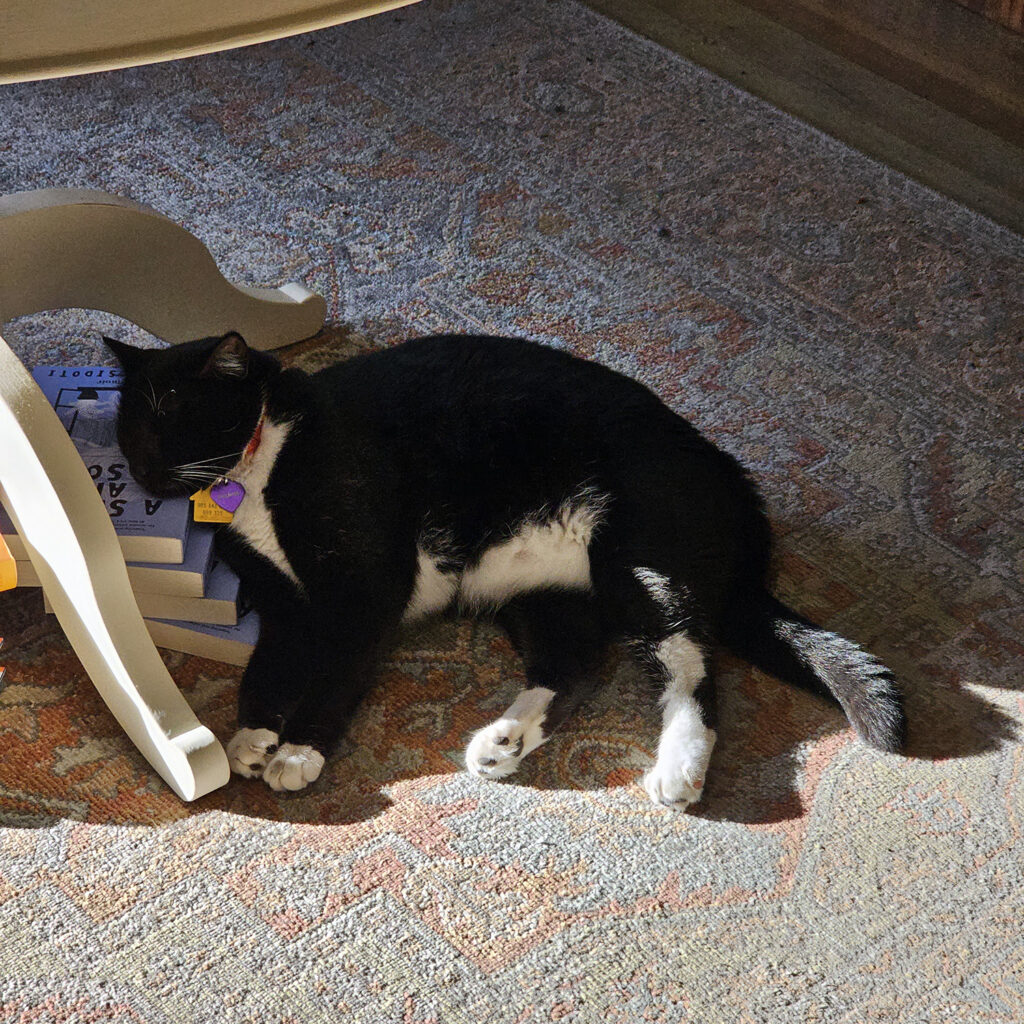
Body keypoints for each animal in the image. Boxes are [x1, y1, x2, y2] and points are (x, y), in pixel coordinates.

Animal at [105, 333, 905, 806]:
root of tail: (733, 482)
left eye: (171, 419)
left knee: (693, 668)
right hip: (541, 588)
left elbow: (337, 671)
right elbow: (264, 669)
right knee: (577, 664)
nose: (141, 472)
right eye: (127, 426)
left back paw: (678, 770)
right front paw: (252, 734)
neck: (257, 469)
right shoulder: (282, 605)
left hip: (638, 561)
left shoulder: (366, 590)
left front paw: (300, 748)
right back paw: (505, 741)